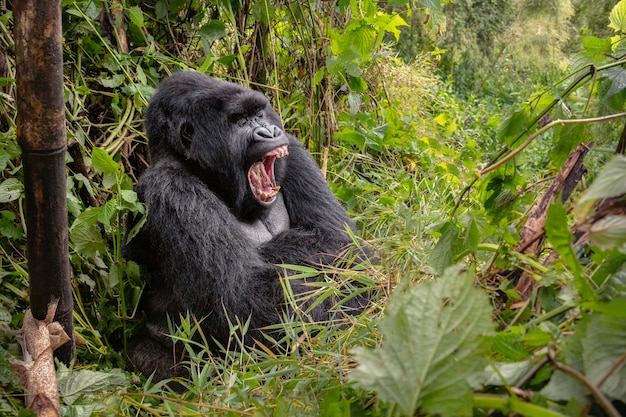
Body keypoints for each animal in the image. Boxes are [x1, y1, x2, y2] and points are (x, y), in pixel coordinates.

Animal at [124, 70, 368, 380]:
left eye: (259, 115)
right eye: (240, 121)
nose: (270, 132)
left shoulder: (295, 150)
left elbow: (340, 242)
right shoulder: (169, 190)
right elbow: (249, 299)